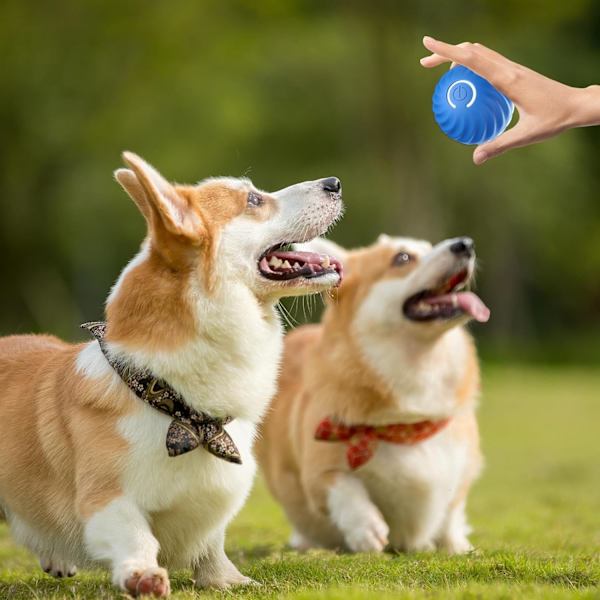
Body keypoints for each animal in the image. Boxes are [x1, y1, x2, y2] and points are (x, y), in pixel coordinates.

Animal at [0, 154, 342, 596]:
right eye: (253, 199)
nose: (334, 183)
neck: (176, 405)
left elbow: (212, 543)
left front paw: (227, 579)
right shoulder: (105, 498)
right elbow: (136, 534)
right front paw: (142, 576)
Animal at [256, 236, 488, 556]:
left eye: (429, 246)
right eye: (402, 258)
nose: (465, 244)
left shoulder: (461, 469)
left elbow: (452, 511)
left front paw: (456, 546)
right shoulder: (319, 470)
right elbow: (345, 488)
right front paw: (367, 530)